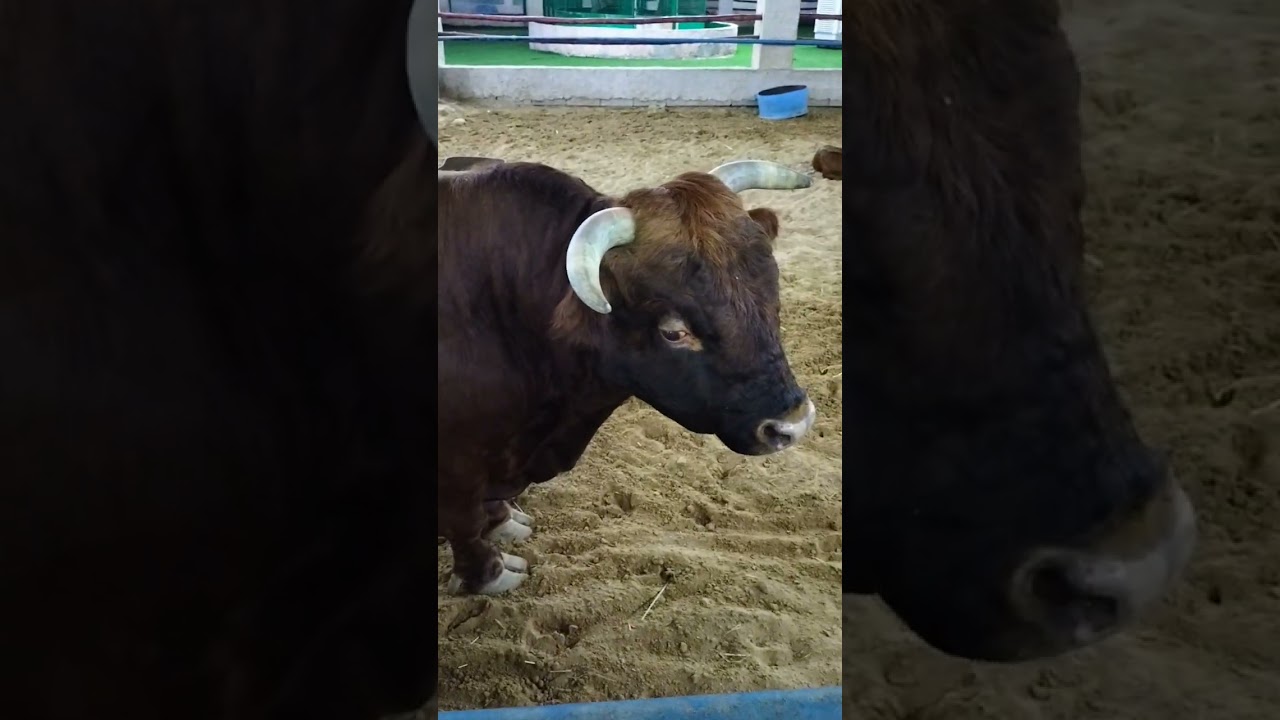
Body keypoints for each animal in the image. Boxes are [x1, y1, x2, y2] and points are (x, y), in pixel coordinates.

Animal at [437, 159, 817, 595]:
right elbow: (465, 522)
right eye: (674, 331)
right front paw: (488, 573)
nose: (793, 425)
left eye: (771, 289)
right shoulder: (456, 466)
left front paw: (502, 522)